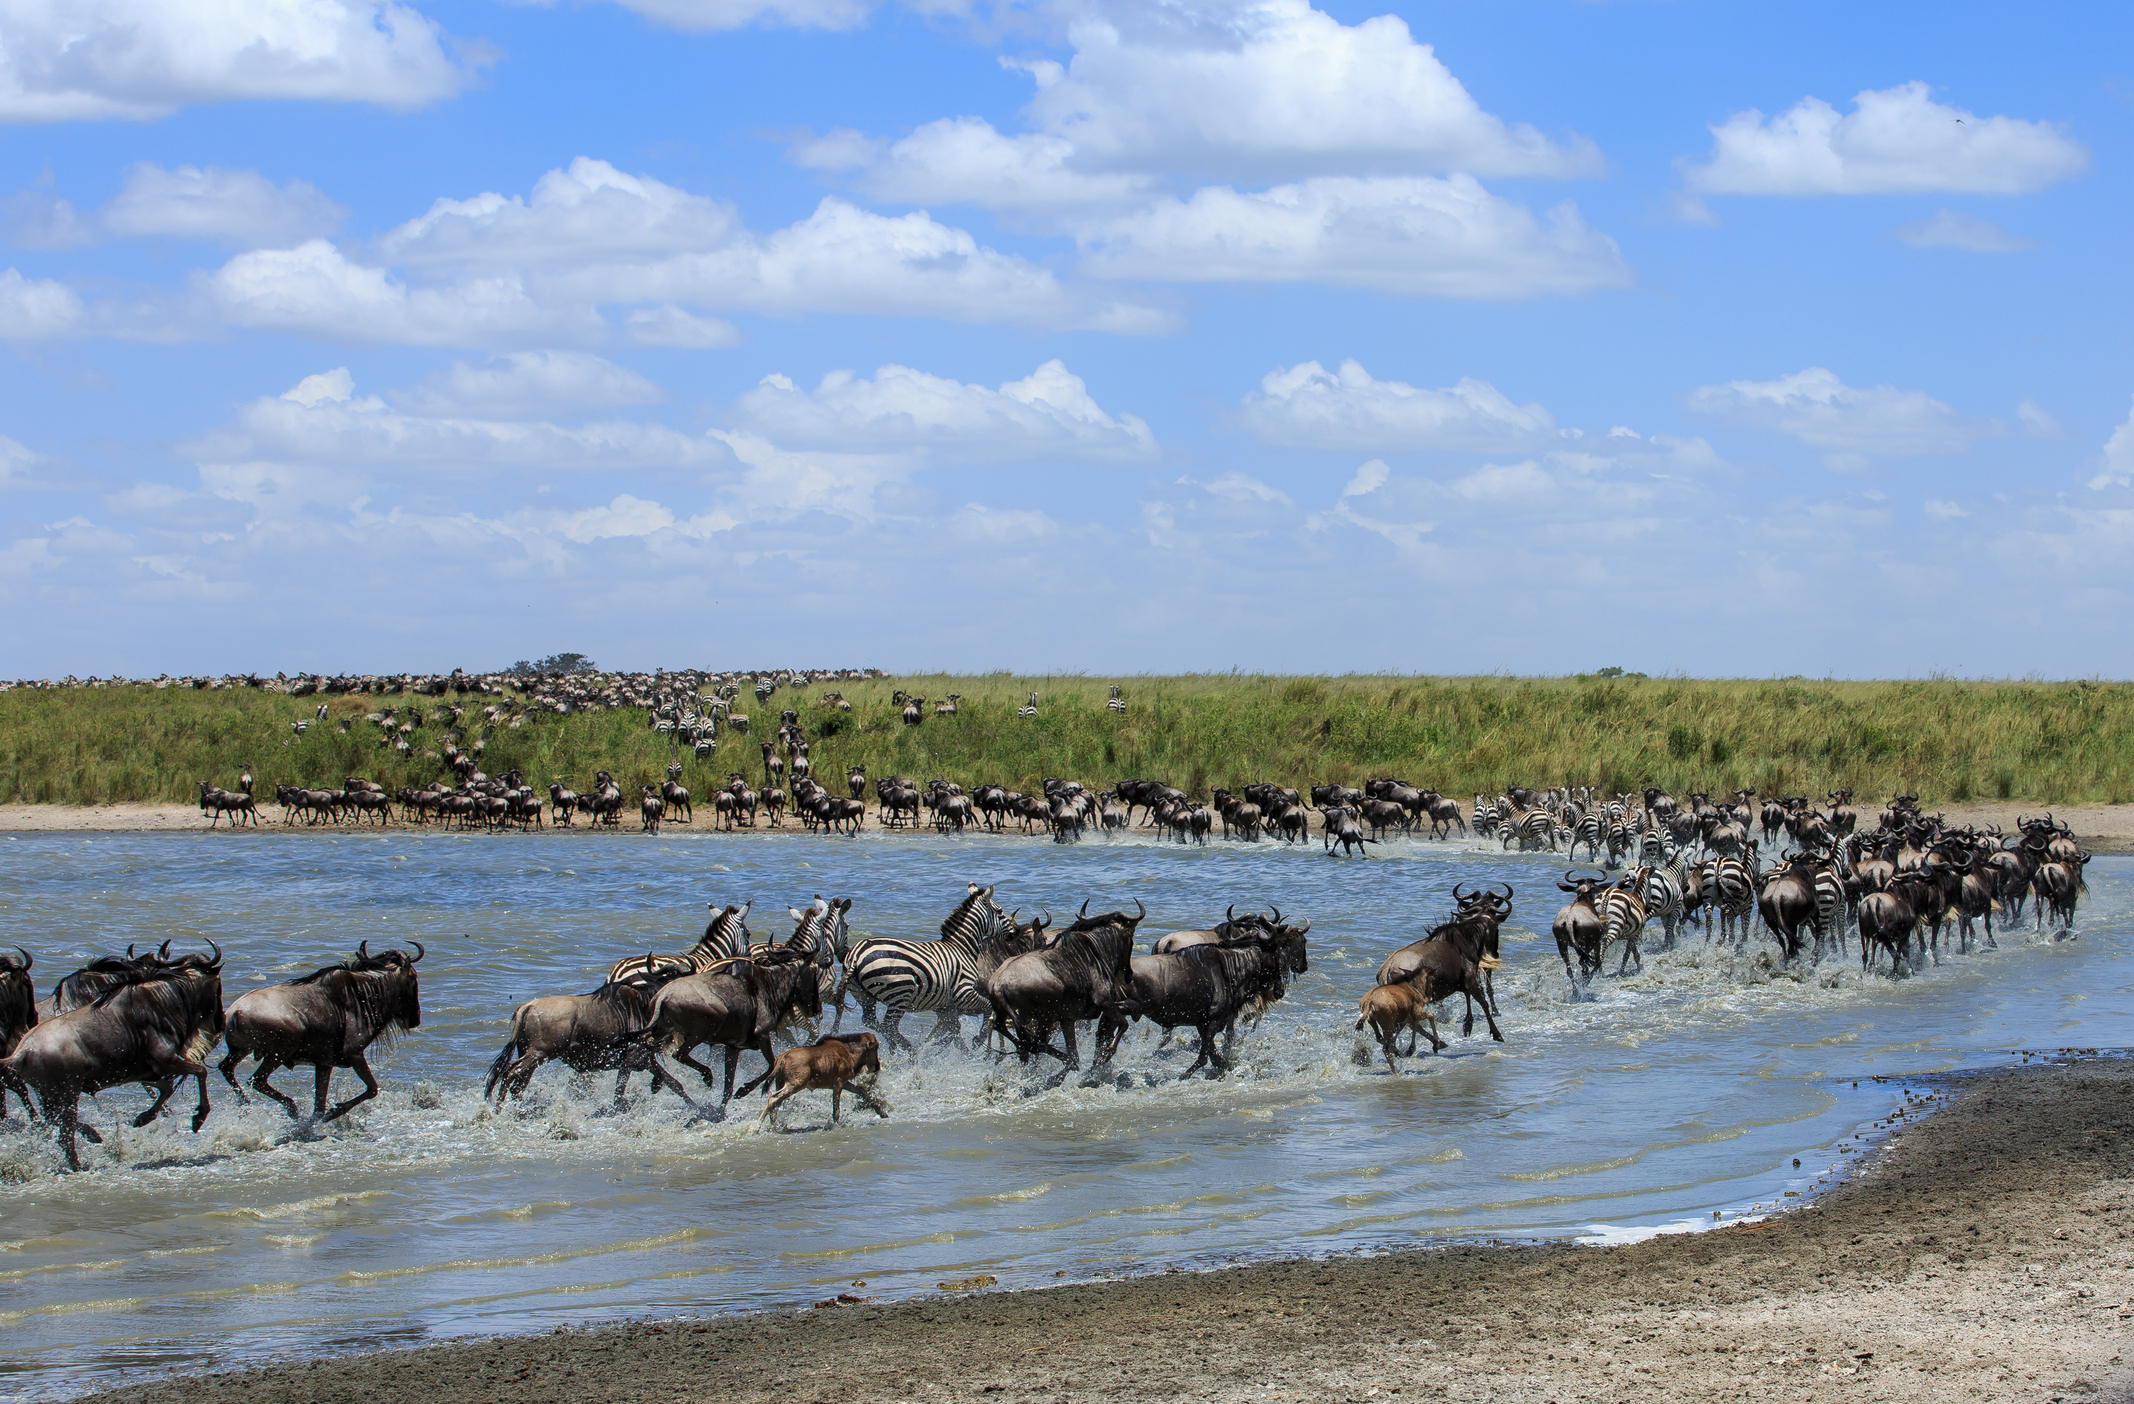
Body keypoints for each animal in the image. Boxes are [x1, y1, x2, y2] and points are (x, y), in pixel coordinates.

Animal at [840, 884, 1016, 1051]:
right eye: (1000, 911)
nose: (1016, 931)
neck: (961, 947)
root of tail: (856, 954)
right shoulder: (963, 993)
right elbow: (987, 1007)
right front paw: (979, 1039)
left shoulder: (946, 1005)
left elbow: (953, 1029)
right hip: (899, 995)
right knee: (889, 1027)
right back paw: (910, 1050)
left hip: (863, 996)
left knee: (871, 1021)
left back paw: (901, 1048)